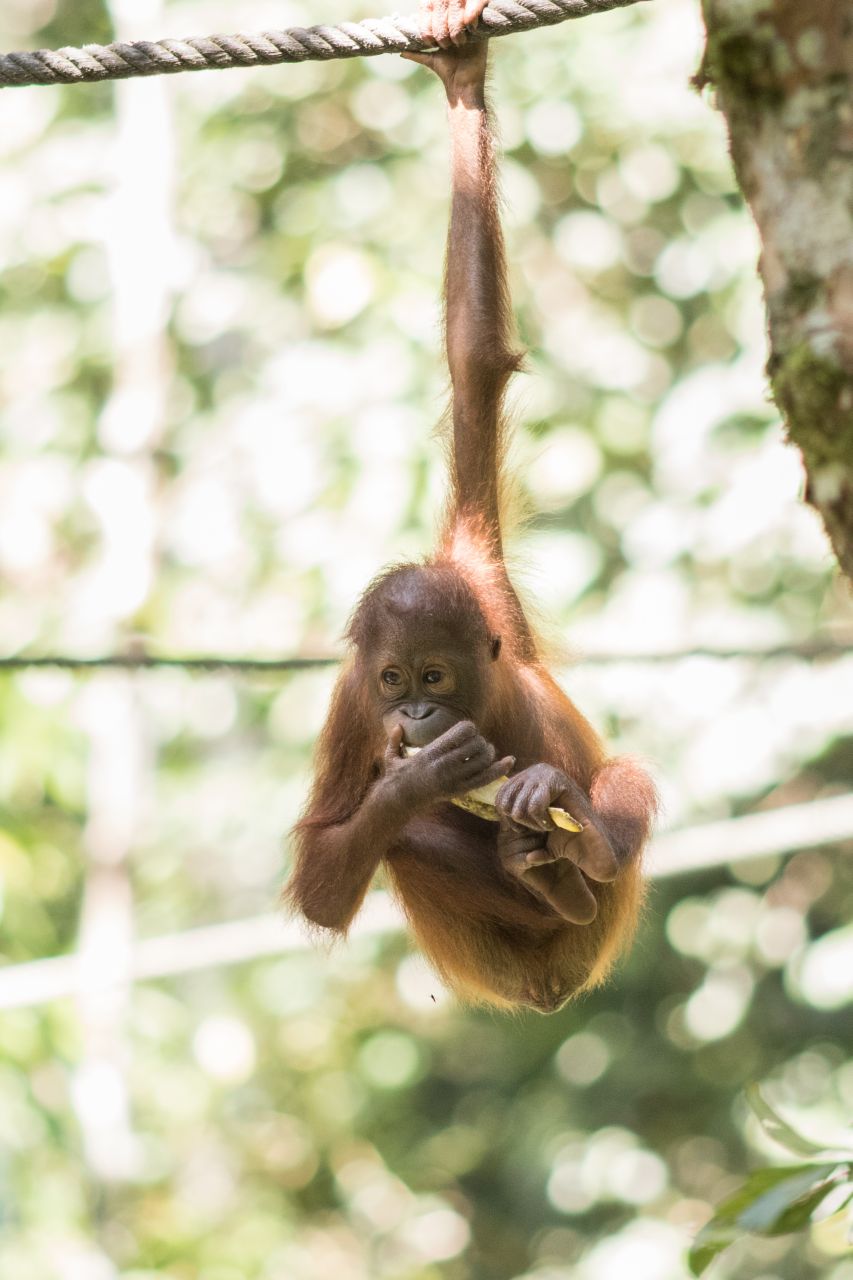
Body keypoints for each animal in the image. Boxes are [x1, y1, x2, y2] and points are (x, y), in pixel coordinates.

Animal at [285, 12, 657, 1013]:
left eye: (433, 677)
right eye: (391, 681)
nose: (414, 714)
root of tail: (553, 985)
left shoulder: (482, 581)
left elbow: (474, 357)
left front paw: (462, 79)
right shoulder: (348, 709)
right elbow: (320, 877)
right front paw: (410, 787)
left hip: (608, 917)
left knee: (618, 783)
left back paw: (575, 852)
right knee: (412, 850)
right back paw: (540, 877)